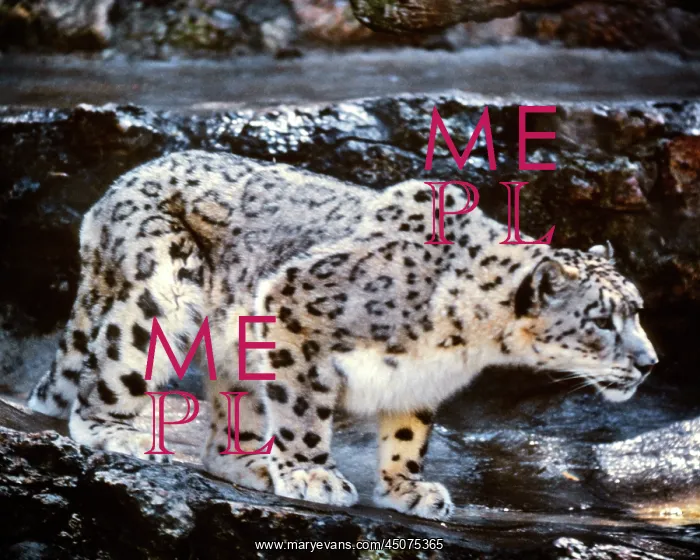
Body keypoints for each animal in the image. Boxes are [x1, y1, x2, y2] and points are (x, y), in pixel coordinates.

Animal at [28, 150, 658, 520]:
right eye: (603, 319)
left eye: (638, 309)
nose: (650, 361)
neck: (467, 343)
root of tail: (115, 188)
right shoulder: (292, 309)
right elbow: (303, 409)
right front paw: (314, 473)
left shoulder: (419, 378)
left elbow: (407, 435)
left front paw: (407, 489)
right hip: (159, 292)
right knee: (106, 376)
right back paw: (120, 432)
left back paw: (251, 463)